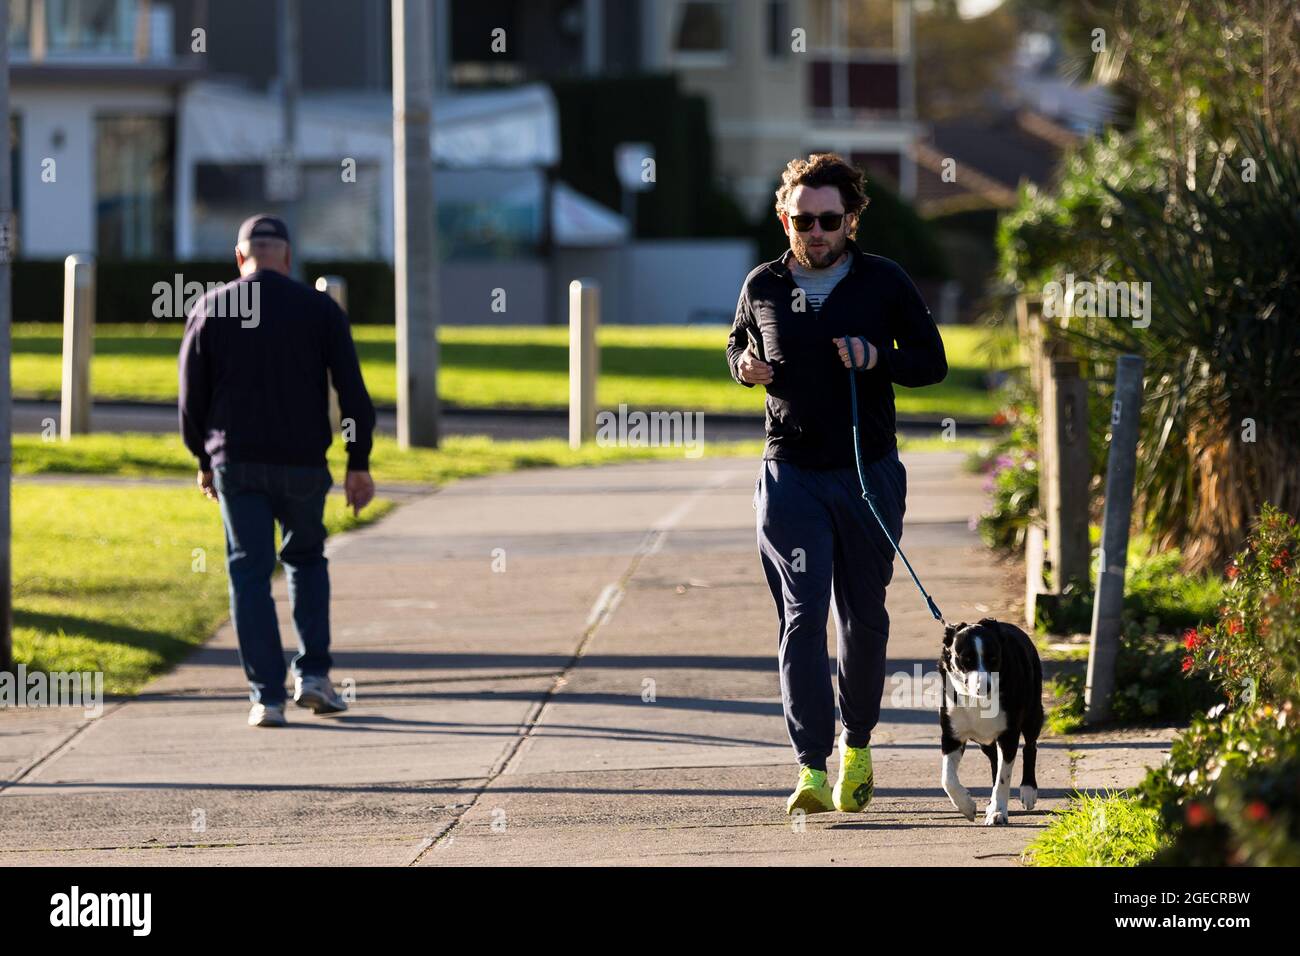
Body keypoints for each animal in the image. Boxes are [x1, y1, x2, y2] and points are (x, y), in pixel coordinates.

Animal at [935, 621, 1045, 822]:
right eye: (966, 659)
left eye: (993, 658)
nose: (984, 686)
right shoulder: (951, 734)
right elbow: (947, 779)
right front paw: (967, 806)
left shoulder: (1009, 735)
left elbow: (1003, 777)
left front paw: (998, 811)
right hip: (984, 741)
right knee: (994, 758)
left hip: (1033, 712)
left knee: (1030, 746)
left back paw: (1028, 790)